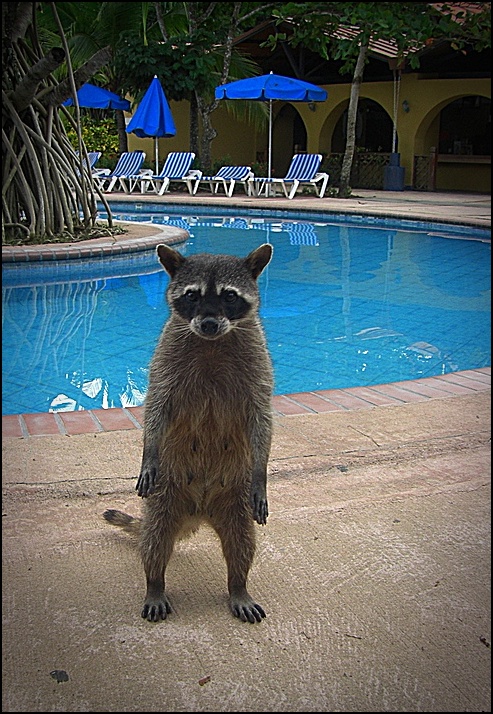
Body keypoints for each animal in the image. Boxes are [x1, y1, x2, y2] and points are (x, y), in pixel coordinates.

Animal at [104, 243, 272, 624]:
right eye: (192, 295)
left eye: (229, 296)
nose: (208, 323)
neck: (212, 341)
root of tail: (200, 510)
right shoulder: (166, 360)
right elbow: (156, 407)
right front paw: (148, 451)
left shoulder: (257, 361)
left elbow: (262, 419)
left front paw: (262, 471)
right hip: (166, 494)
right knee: (155, 540)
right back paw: (155, 583)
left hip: (235, 501)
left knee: (241, 545)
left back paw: (238, 585)